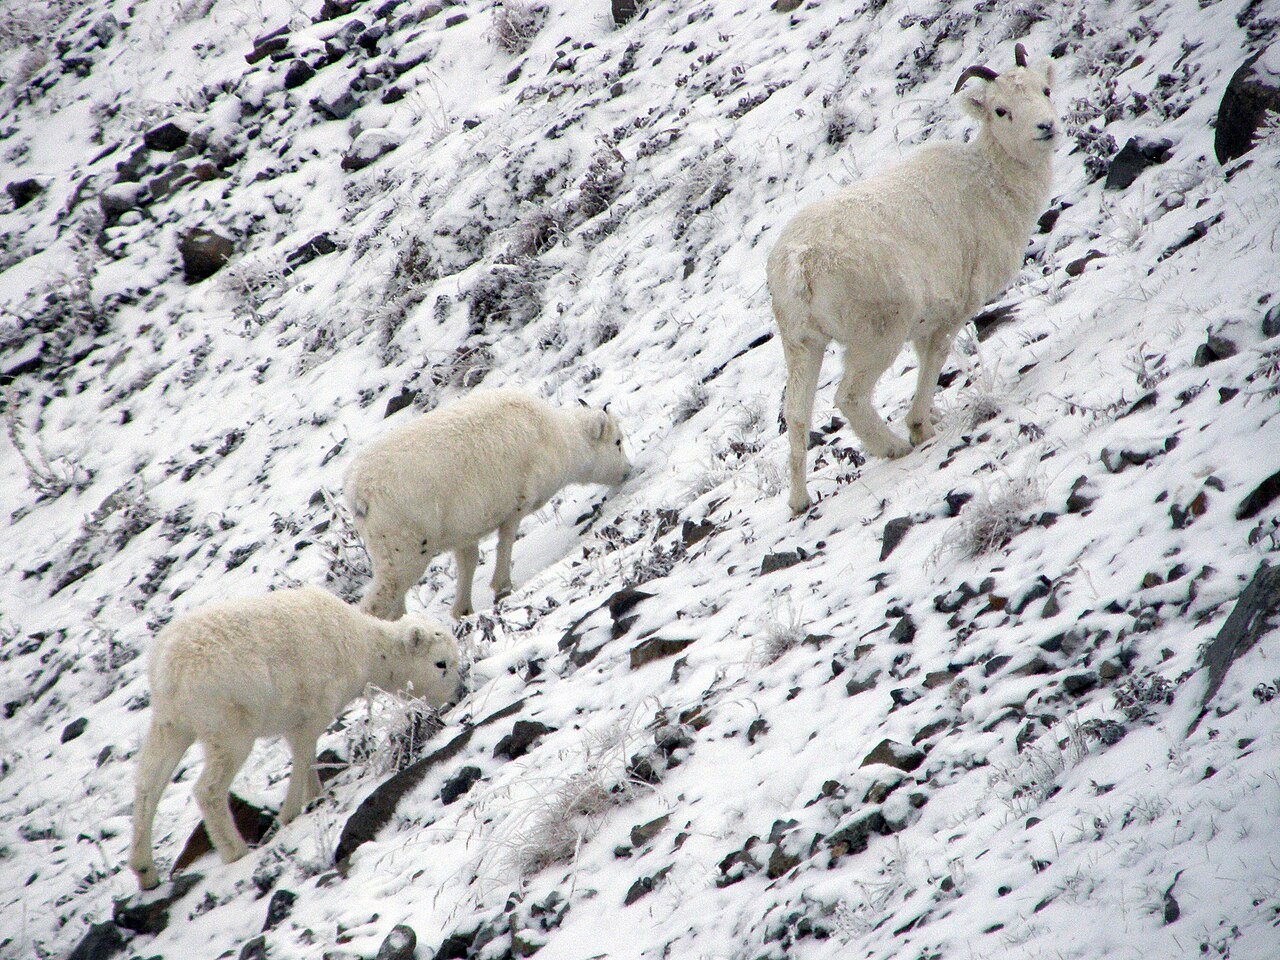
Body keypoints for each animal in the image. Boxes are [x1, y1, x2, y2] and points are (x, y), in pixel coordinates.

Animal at [128, 585, 461, 890]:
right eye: (440, 664)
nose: (457, 695)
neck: (365, 649)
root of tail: (169, 669)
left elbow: (307, 762)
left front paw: (315, 797)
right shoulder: (308, 721)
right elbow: (302, 761)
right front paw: (289, 815)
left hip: (171, 727)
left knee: (147, 787)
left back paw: (145, 872)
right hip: (229, 735)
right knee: (207, 791)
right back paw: (236, 852)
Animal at [346, 388, 631, 621]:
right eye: (617, 442)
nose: (628, 471)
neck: (561, 438)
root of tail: (359, 492)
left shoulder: (464, 534)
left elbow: (469, 562)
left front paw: (463, 611)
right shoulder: (515, 508)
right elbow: (505, 544)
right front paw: (502, 587)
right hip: (405, 555)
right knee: (377, 605)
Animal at [767, 44, 1057, 514]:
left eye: (1044, 90)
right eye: (1000, 110)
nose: (1045, 127)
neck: (991, 183)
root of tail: (800, 260)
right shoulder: (952, 311)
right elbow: (934, 359)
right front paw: (922, 427)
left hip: (803, 346)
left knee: (797, 414)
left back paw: (799, 501)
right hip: (877, 337)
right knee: (849, 396)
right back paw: (894, 448)